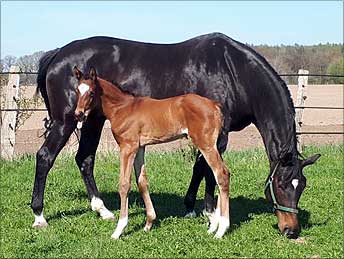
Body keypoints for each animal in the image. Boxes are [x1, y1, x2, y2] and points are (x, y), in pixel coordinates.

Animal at [73, 66, 230, 240]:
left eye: (91, 92)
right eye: (77, 91)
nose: (78, 114)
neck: (123, 108)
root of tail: (215, 105)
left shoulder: (127, 147)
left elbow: (124, 184)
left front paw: (119, 229)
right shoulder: (140, 147)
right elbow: (142, 181)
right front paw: (149, 223)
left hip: (206, 144)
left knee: (222, 174)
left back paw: (221, 230)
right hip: (211, 146)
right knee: (217, 174)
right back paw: (213, 227)